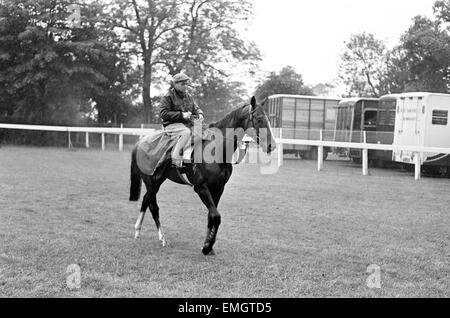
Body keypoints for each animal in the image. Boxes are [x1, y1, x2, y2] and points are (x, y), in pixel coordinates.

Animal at [128, 95, 276, 255]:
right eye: (259, 118)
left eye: (268, 119)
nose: (271, 146)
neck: (216, 149)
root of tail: (140, 143)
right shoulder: (201, 188)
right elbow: (216, 216)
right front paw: (207, 247)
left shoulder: (218, 188)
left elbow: (211, 216)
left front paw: (208, 245)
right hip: (150, 181)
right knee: (153, 206)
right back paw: (162, 238)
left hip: (157, 180)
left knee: (145, 200)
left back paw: (137, 231)